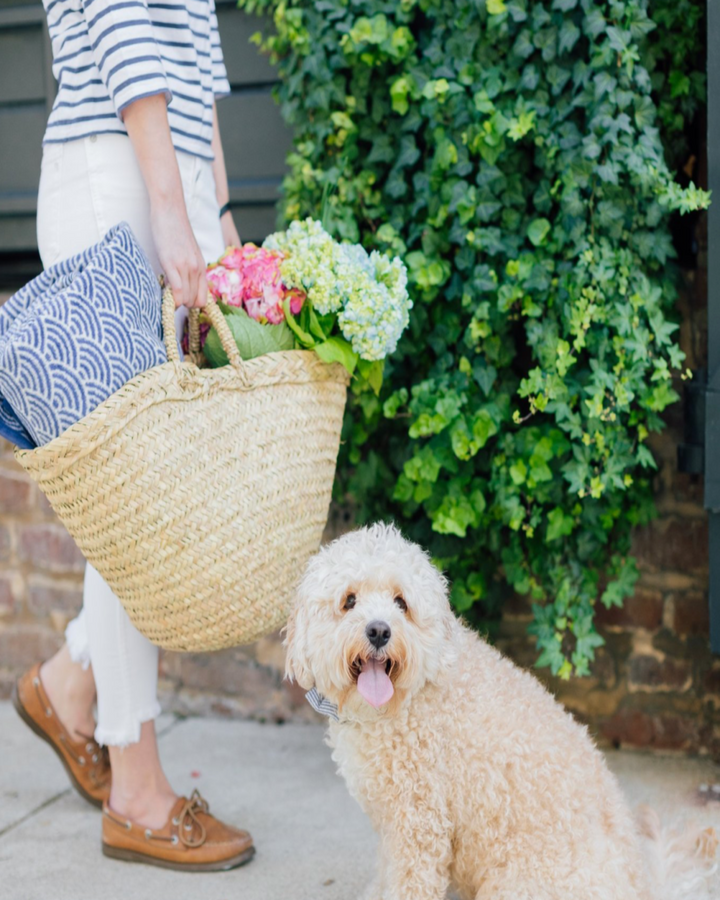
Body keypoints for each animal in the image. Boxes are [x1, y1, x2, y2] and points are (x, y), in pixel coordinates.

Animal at [284, 524, 716, 896]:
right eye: (349, 601)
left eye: (401, 603)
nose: (378, 630)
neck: (404, 703)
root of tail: (641, 885)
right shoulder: (393, 827)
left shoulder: (420, 827)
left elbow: (409, 884)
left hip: (516, 883)